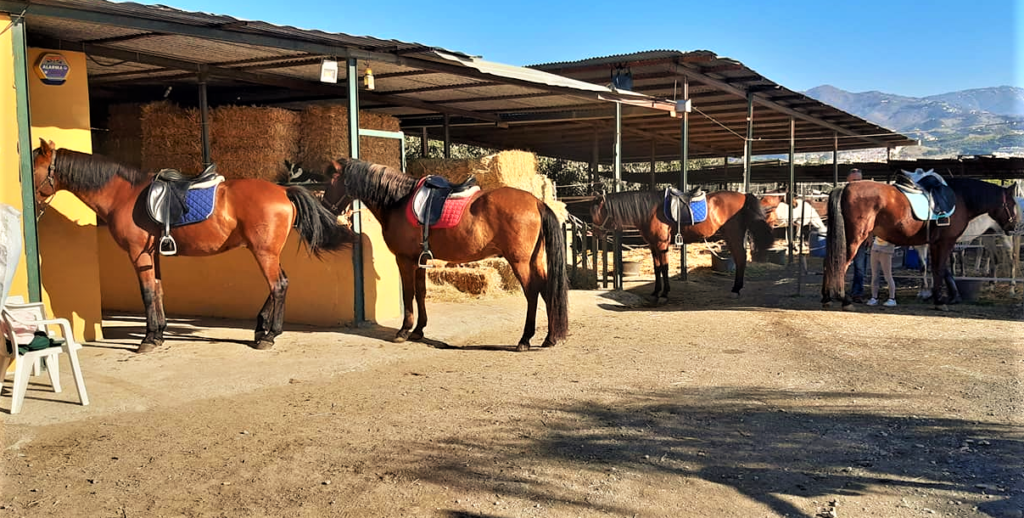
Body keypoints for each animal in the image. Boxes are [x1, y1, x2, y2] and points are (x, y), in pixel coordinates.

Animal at [29, 139, 356, 354]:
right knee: (281, 282)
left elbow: (147, 293)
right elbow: (158, 290)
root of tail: (283, 190)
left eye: (33, 168)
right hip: (267, 251)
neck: (123, 194)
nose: (31, 203)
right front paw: (158, 333)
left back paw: (268, 335)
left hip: (263, 252)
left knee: (278, 285)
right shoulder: (153, 255)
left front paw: (148, 339)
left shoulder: (138, 254)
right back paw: (261, 327)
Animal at [319, 157, 569, 352]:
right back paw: (550, 338)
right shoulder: (419, 261)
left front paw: (404, 331)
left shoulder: (405, 260)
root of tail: (536, 202)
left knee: (532, 292)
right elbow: (421, 293)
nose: (325, 208)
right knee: (547, 289)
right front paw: (418, 330)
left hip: (520, 262)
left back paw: (525, 339)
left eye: (331, 180)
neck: (398, 201)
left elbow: (408, 294)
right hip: (535, 260)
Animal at [589, 190, 770, 303]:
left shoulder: (661, 244)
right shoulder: (653, 245)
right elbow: (657, 269)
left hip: (734, 235)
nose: (596, 234)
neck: (650, 212)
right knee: (740, 259)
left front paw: (664, 294)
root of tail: (743, 195)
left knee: (740, 258)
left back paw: (736, 290)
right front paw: (655, 292)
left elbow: (664, 268)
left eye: (598, 213)